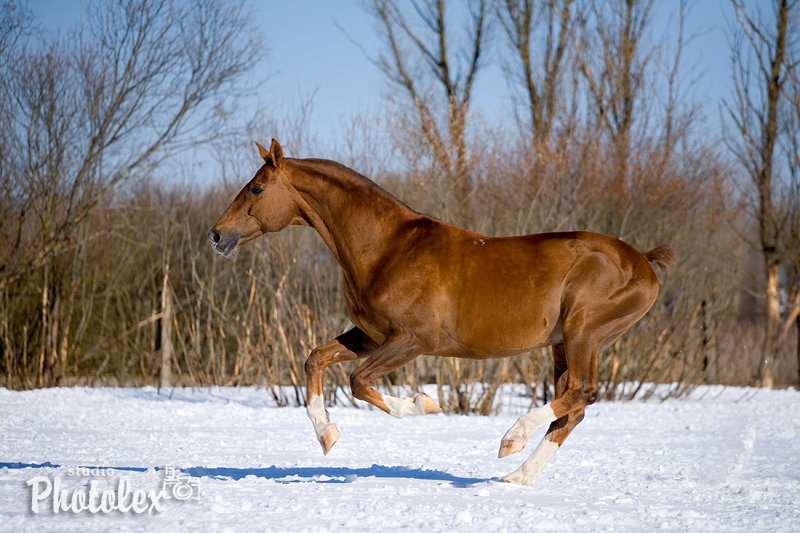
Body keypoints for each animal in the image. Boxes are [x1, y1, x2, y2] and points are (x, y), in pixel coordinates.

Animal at [209, 139, 672, 484]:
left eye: (256, 189)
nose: (216, 235)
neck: (387, 248)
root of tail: (642, 260)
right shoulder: (372, 336)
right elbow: (315, 360)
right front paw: (327, 435)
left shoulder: (414, 340)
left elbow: (359, 382)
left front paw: (423, 404)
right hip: (564, 344)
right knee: (571, 407)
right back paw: (517, 475)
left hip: (583, 333)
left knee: (583, 393)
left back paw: (512, 438)